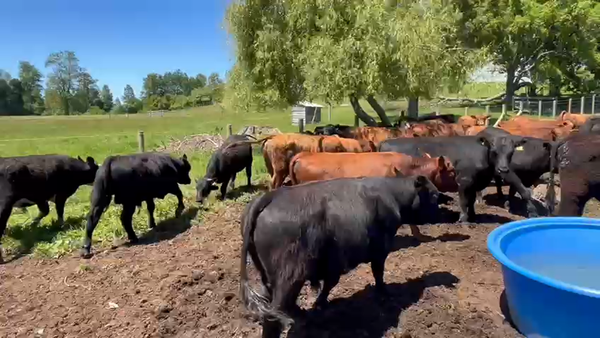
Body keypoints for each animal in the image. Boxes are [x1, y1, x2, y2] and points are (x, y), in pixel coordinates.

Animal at [240, 176, 440, 336]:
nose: (446, 213)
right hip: (289, 276)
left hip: (268, 275)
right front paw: (384, 293)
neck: (392, 196)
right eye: (434, 195)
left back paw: (303, 315)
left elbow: (330, 284)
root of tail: (270, 196)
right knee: (274, 314)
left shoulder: (334, 264)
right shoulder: (380, 250)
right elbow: (378, 273)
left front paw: (320, 304)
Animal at [380, 135, 528, 222]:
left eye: (511, 152)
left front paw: (473, 216)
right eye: (494, 151)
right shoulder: (463, 181)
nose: (503, 169)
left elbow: (471, 201)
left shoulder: (473, 184)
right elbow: (463, 201)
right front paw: (463, 219)